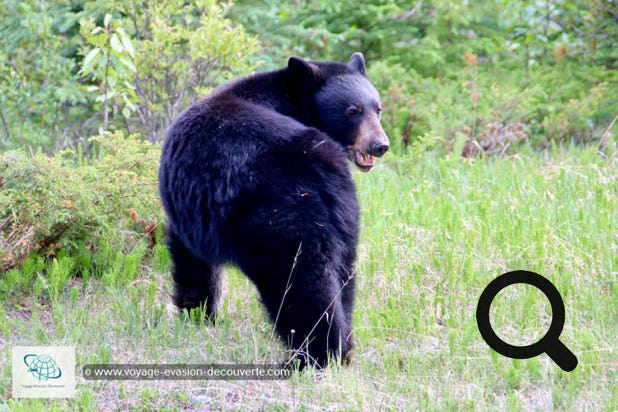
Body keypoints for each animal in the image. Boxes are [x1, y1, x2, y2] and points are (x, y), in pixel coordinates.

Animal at [159, 52, 390, 366]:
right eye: (353, 110)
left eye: (377, 109)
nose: (380, 145)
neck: (292, 101)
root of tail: (322, 163)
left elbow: (190, 257)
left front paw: (196, 313)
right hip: (344, 216)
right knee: (344, 277)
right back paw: (343, 349)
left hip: (281, 220)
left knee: (300, 283)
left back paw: (315, 356)